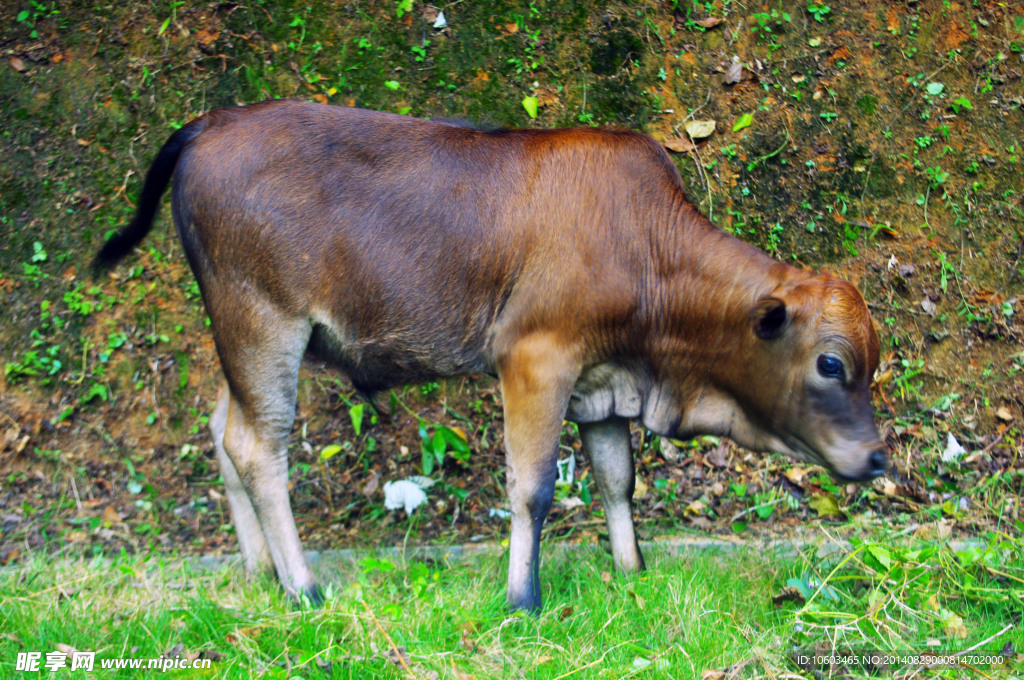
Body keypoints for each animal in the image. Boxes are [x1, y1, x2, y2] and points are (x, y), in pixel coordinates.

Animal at [92, 99, 884, 610]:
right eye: (831, 364)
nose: (878, 458)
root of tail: (211, 122)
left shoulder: (601, 384)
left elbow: (616, 480)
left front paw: (632, 573)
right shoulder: (535, 360)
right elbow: (532, 488)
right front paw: (522, 598)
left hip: (243, 340)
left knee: (223, 432)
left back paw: (262, 574)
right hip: (262, 325)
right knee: (259, 448)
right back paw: (305, 588)